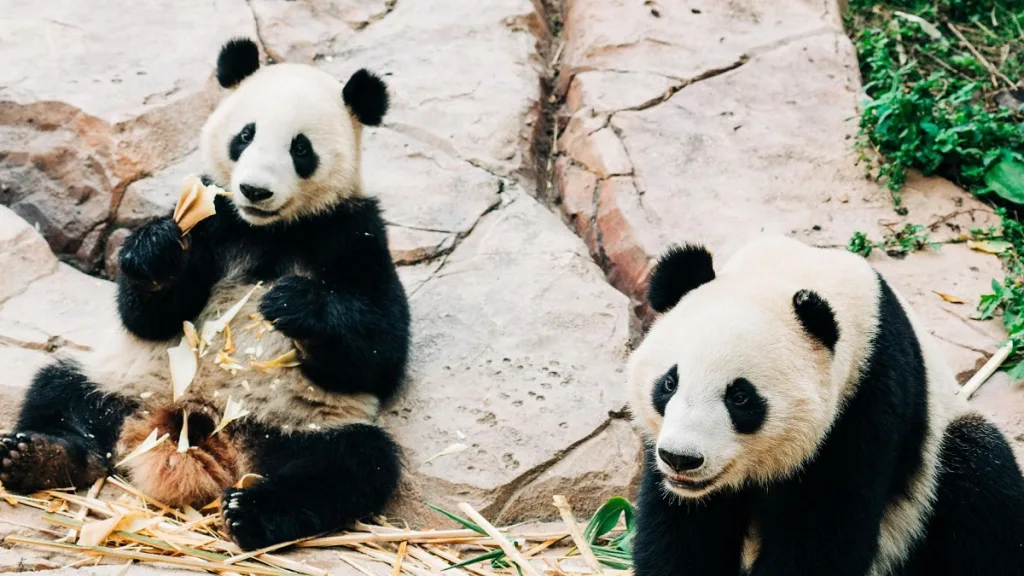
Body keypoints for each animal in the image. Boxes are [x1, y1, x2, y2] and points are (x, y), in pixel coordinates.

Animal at [0, 38, 411, 551]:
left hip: (298, 424)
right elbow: (147, 316)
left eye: (300, 148)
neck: (268, 231)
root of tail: (199, 424)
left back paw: (252, 513)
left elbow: (380, 349)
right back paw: (38, 456)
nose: (255, 189)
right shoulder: (215, 220)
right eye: (245, 135)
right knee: (62, 390)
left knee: (351, 465)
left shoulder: (354, 233)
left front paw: (293, 305)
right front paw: (157, 251)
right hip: (126, 381)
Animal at [627, 235, 1024, 576]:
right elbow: (681, 533)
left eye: (740, 397)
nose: (681, 459)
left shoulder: (867, 400)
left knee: (981, 478)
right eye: (669, 383)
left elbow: (824, 535)